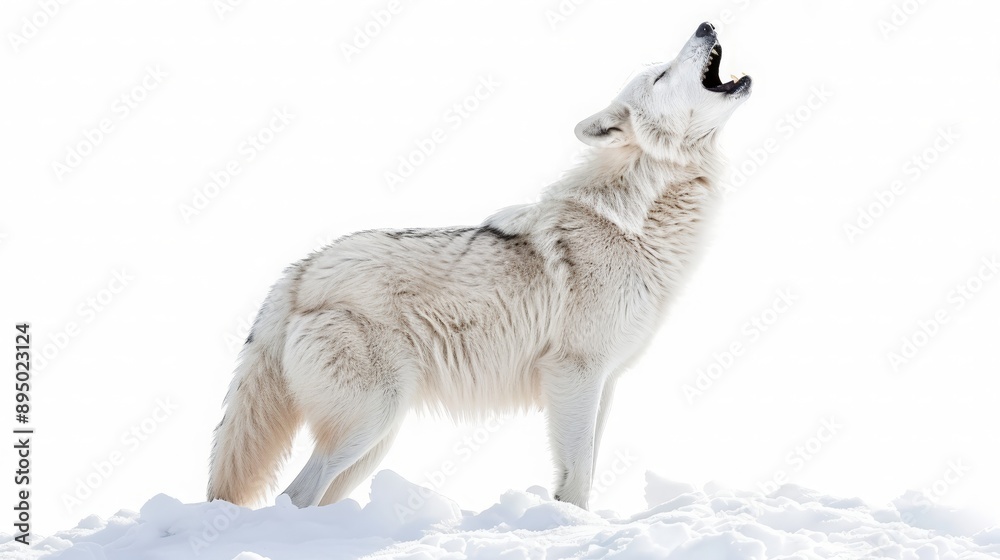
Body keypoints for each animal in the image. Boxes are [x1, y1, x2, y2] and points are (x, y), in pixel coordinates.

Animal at [208, 22, 751, 510]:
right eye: (661, 75)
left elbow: (587, 468)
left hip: (375, 438)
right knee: (293, 496)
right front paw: (572, 527)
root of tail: (297, 274)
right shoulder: (574, 373)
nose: (706, 23)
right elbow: (577, 476)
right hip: (370, 422)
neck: (638, 216)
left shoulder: (606, 380)